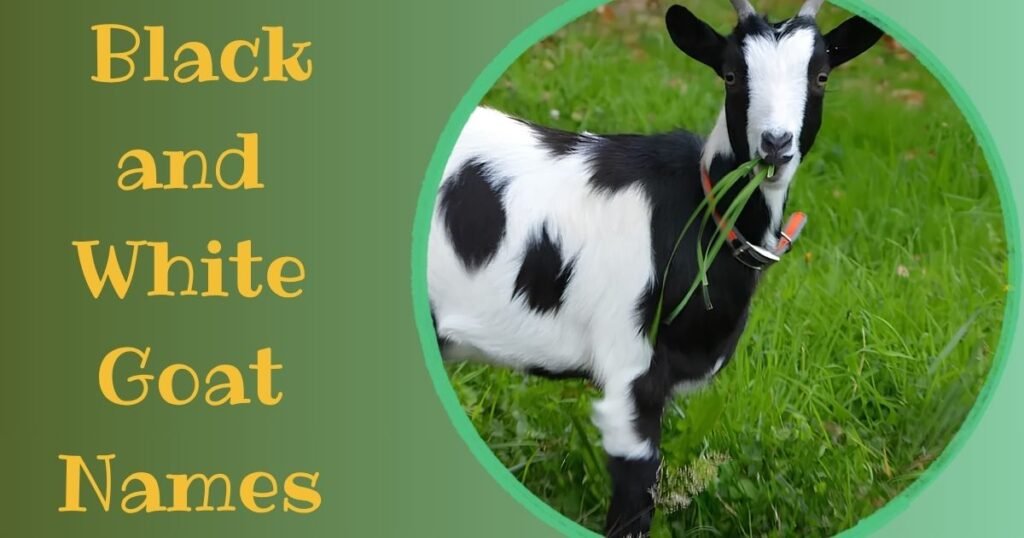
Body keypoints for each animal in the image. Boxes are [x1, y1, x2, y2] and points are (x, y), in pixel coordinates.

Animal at [427, 1, 883, 536]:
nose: (775, 144)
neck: (696, 216)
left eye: (821, 76)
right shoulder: (629, 376)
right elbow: (634, 502)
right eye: (731, 74)